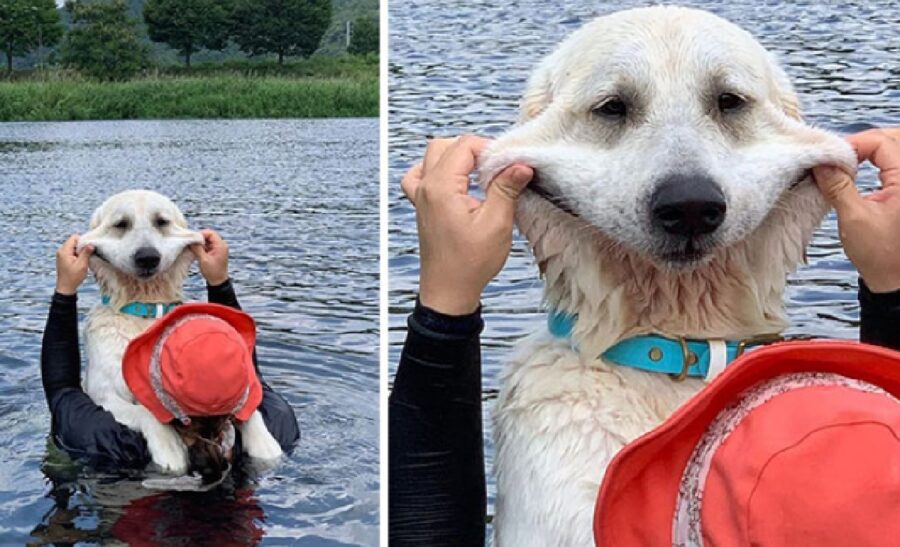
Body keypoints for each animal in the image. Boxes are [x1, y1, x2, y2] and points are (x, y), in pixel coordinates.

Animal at [78, 191, 282, 478]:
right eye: (121, 224)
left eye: (161, 221)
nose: (147, 257)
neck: (145, 309)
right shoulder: (104, 394)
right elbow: (145, 412)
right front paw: (170, 449)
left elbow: (250, 406)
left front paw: (265, 444)